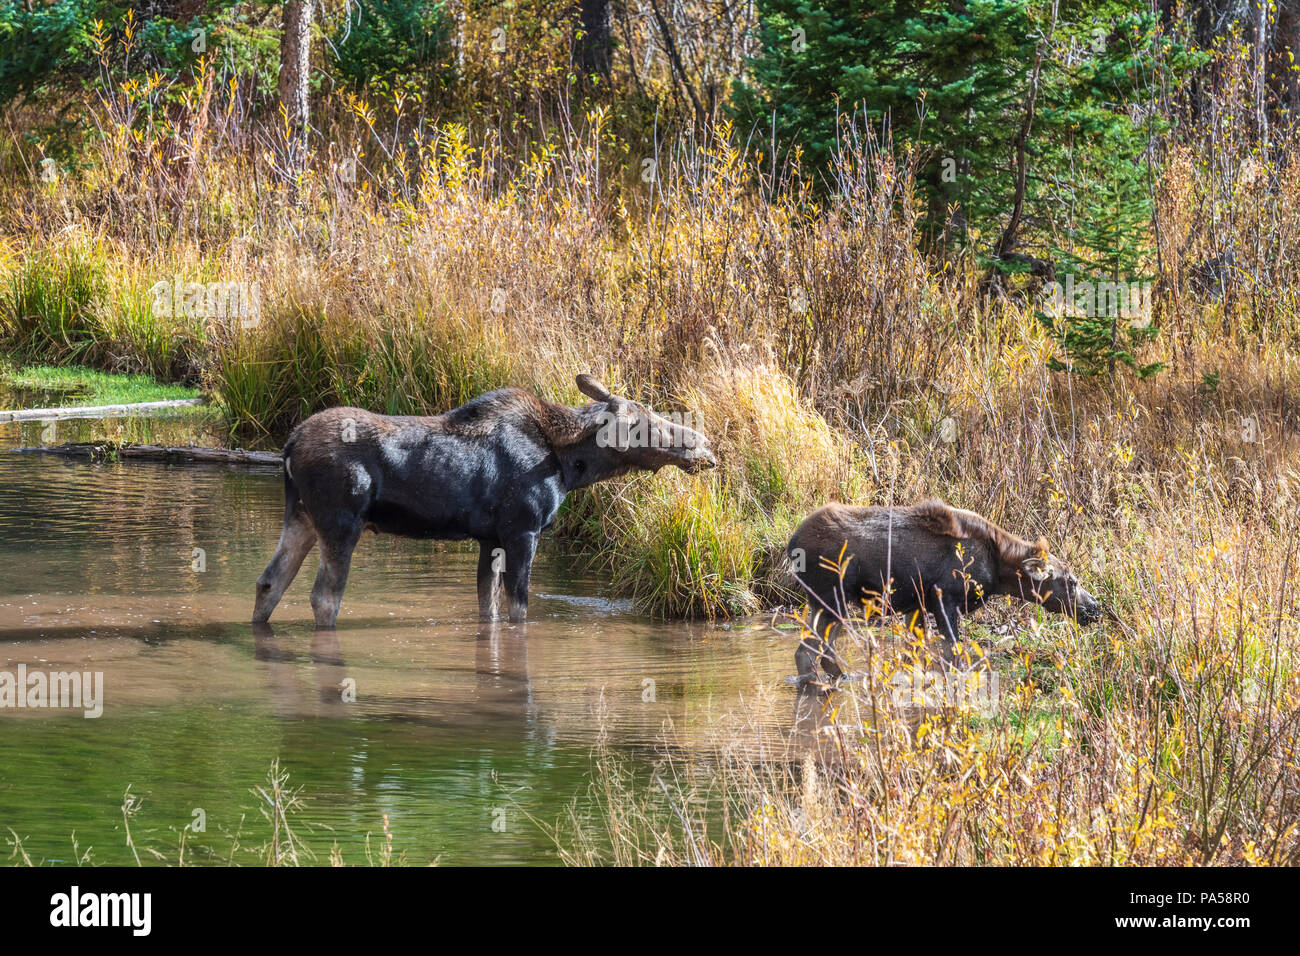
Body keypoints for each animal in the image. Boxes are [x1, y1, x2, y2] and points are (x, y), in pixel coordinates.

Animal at [250, 377, 722, 632]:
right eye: (647, 423)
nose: (703, 445)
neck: (572, 467)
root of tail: (288, 446)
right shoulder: (522, 530)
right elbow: (519, 607)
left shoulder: (488, 538)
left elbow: (487, 606)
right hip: (340, 523)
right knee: (323, 597)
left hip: (301, 517)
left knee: (270, 582)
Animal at [785, 504, 1102, 686]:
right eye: (1071, 581)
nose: (1096, 607)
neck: (1000, 567)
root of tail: (791, 545)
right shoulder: (944, 598)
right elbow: (953, 652)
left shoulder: (916, 605)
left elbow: (915, 654)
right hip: (831, 599)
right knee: (806, 652)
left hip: (827, 605)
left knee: (822, 651)